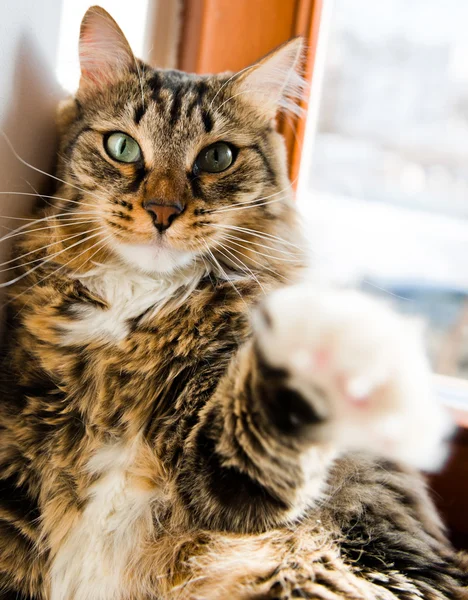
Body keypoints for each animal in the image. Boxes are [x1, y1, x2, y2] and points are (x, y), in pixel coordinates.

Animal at [0, 5, 468, 600]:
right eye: (122, 147)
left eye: (217, 157)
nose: (162, 211)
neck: (136, 307)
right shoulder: (17, 476)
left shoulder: (221, 478)